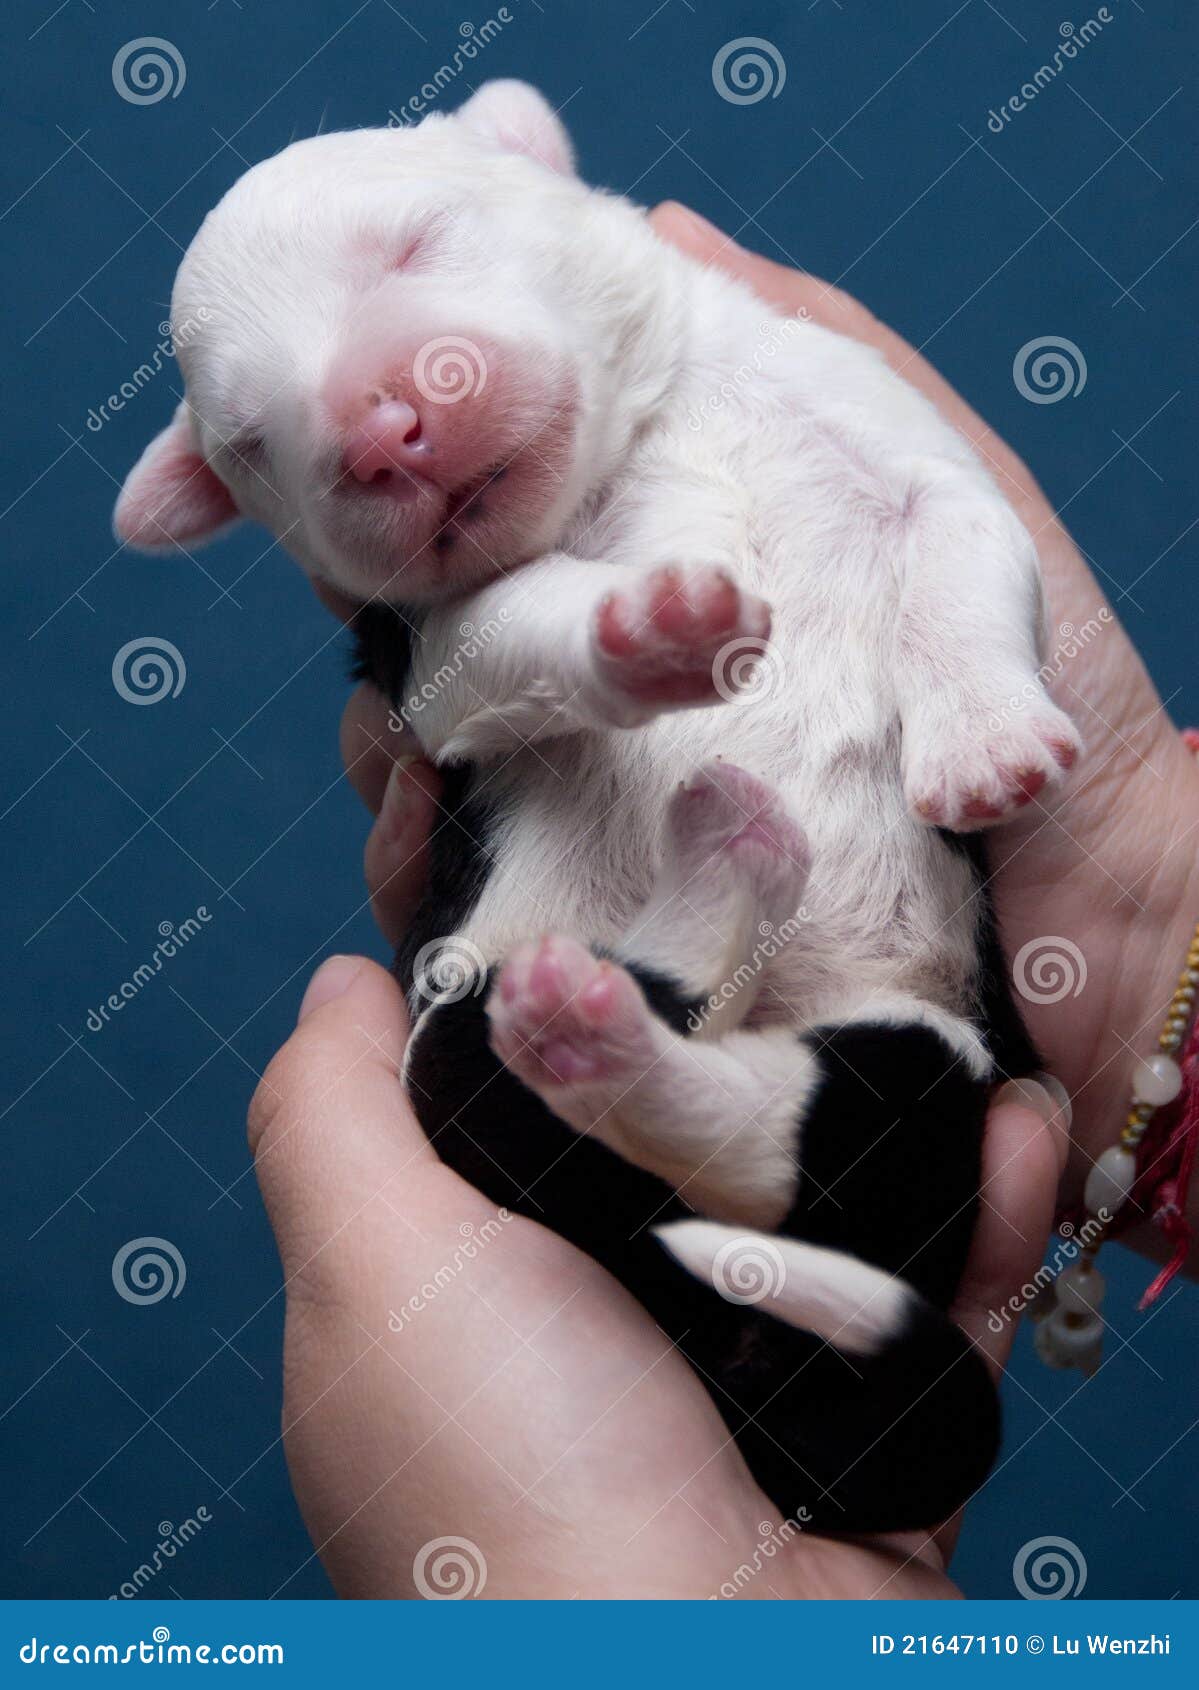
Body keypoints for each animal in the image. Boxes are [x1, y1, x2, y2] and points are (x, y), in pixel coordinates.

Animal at [116, 79, 1082, 1534]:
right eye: (250, 438)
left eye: (414, 241)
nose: (378, 428)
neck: (634, 444)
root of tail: (714, 1325)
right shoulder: (439, 646)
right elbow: (527, 620)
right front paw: (654, 617)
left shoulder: (895, 433)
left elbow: (962, 547)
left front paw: (986, 747)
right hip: (453, 1050)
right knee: (578, 1087)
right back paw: (653, 939)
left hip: (925, 1069)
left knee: (828, 1132)